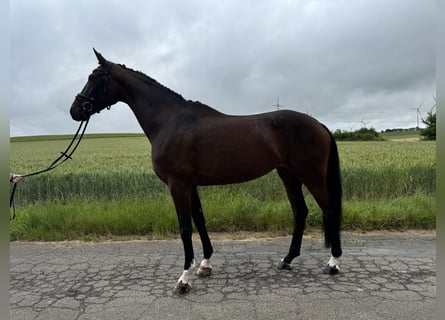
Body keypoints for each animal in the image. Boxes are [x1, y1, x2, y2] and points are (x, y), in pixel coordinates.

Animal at [69, 49, 342, 292]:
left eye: (93, 77)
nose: (75, 110)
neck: (170, 120)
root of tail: (318, 124)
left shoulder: (178, 185)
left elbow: (185, 228)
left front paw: (183, 279)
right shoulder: (190, 185)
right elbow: (199, 221)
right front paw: (205, 264)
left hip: (311, 175)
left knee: (329, 210)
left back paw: (333, 264)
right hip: (288, 174)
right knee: (300, 211)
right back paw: (287, 260)